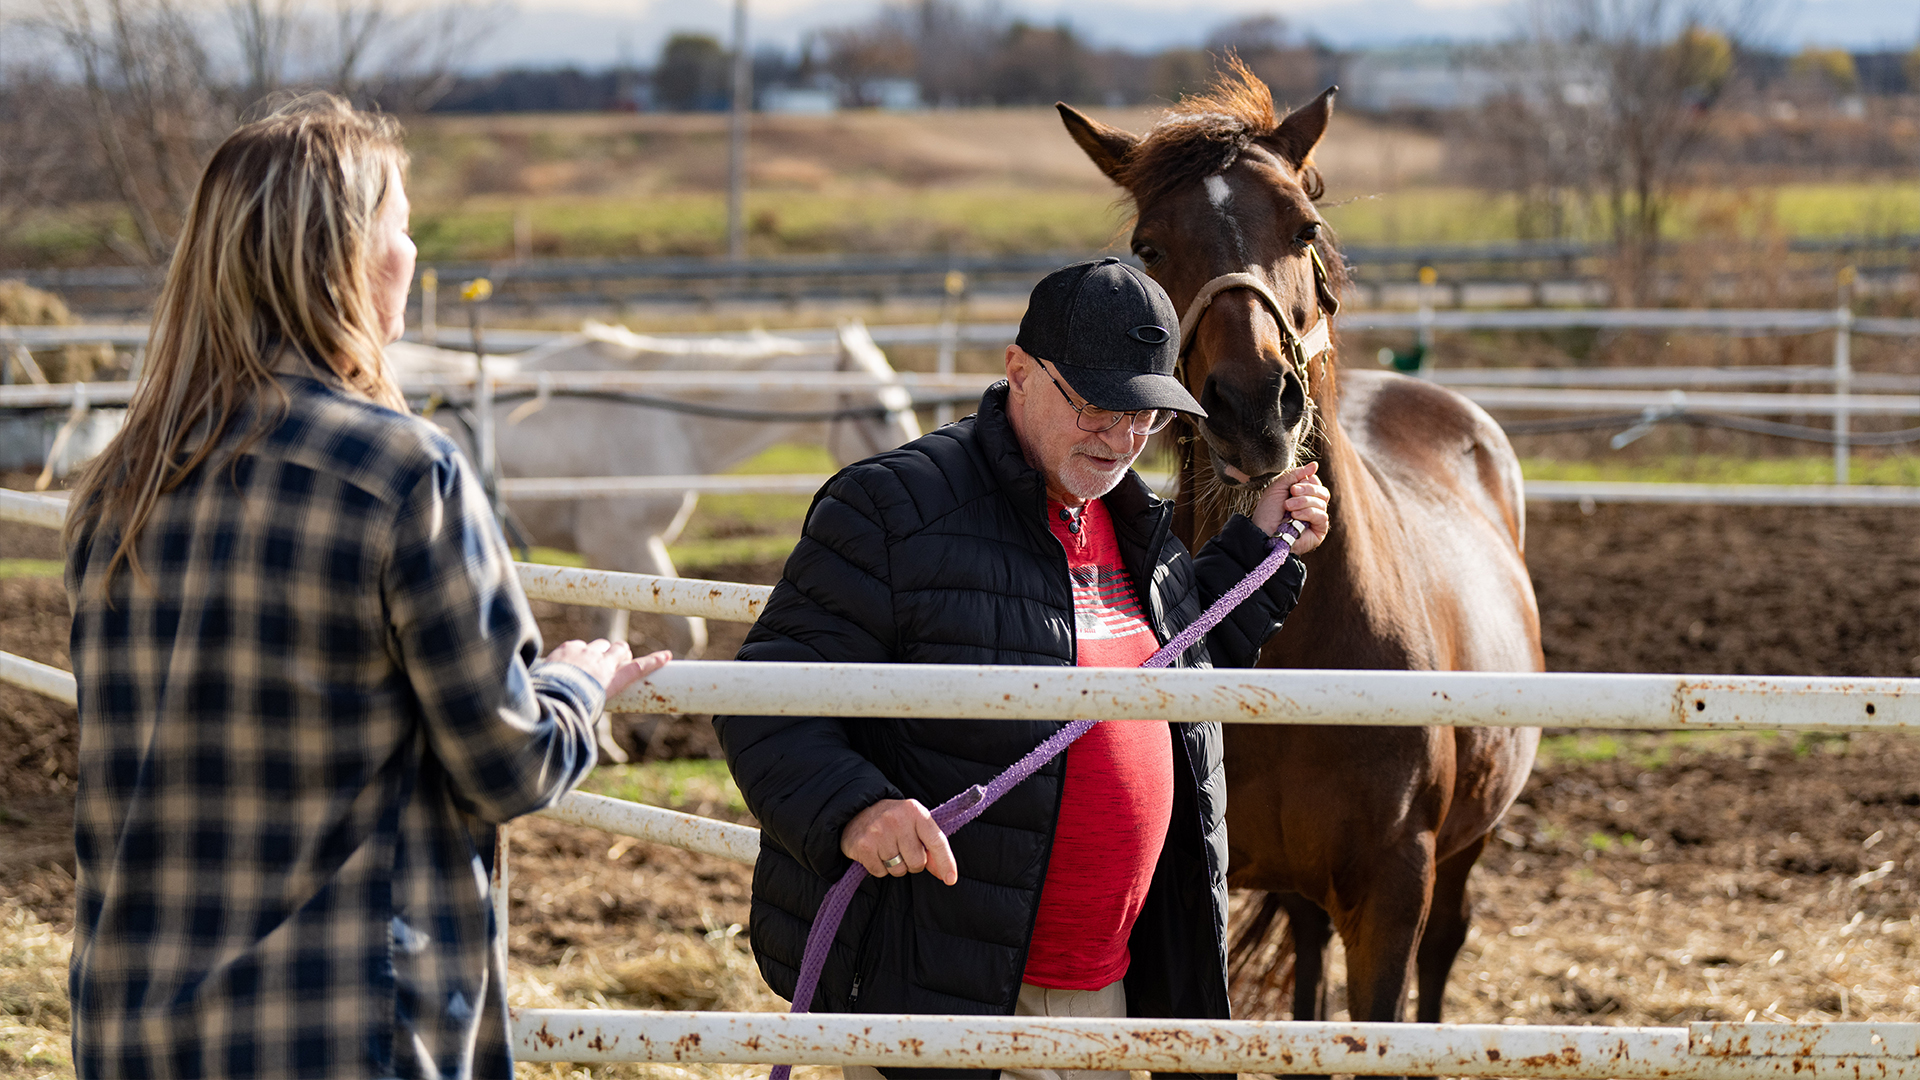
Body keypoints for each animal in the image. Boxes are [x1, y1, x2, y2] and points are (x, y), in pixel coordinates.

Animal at [384, 317, 921, 657]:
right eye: (879, 410)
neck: (667, 421)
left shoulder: (607, 559)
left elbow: (609, 629)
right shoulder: (625, 543)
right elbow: (687, 635)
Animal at [1059, 61, 1536, 1037]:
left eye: (1304, 226)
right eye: (1149, 246)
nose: (1252, 407)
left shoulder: (1393, 895)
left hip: (1464, 850)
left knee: (1446, 948)